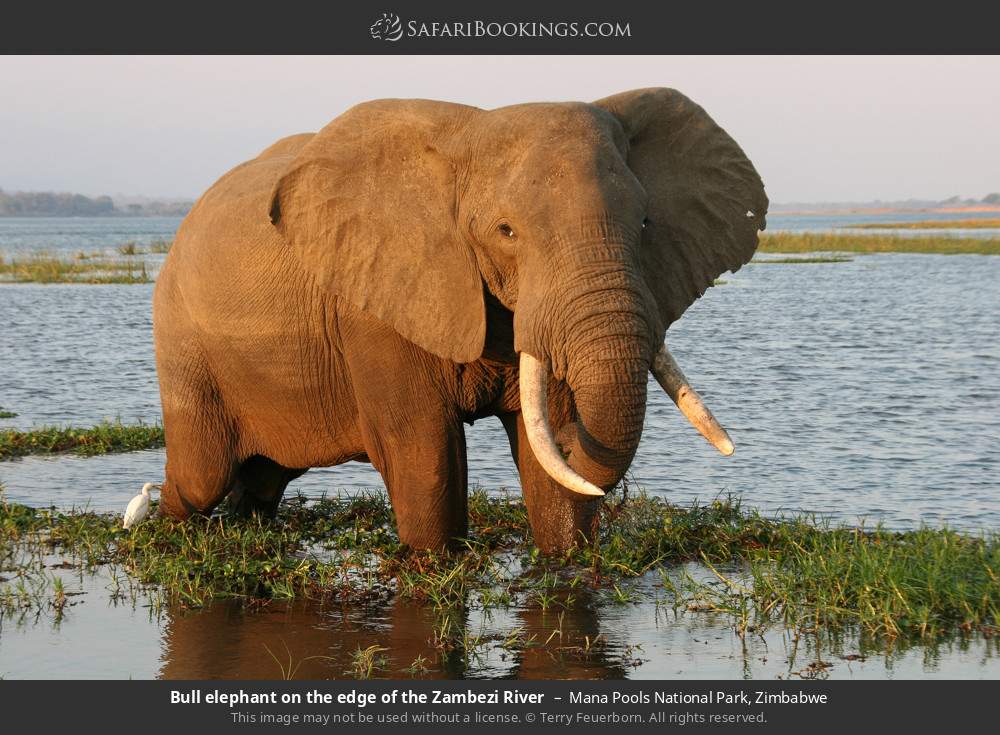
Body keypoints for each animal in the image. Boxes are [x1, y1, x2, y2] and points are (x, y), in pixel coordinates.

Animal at [151, 87, 767, 554]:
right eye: (506, 231)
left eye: (644, 223)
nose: (576, 442)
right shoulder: (376, 303)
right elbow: (424, 451)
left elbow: (544, 460)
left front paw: (564, 555)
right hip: (181, 338)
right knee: (200, 478)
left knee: (263, 477)